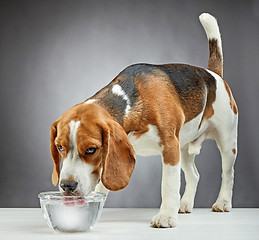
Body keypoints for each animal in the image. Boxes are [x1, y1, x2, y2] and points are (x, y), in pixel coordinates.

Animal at [49, 13, 239, 229]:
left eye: (91, 149)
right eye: (60, 147)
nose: (67, 185)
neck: (131, 102)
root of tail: (213, 75)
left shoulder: (170, 147)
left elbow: (168, 185)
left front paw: (166, 216)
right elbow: (102, 184)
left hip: (226, 142)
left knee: (228, 173)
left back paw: (222, 202)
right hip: (184, 148)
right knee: (194, 175)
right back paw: (185, 204)